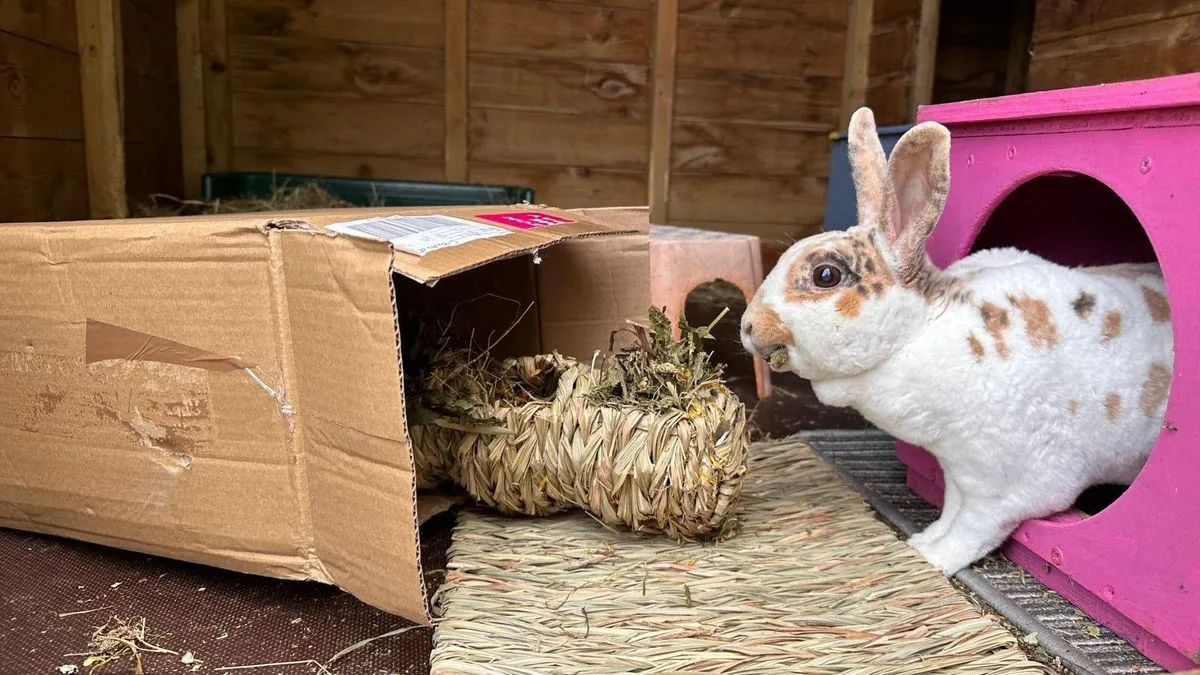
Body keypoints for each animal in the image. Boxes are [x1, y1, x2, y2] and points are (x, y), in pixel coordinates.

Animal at [739, 105, 1171, 571]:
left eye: (825, 275)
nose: (748, 326)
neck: (921, 330)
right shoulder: (958, 473)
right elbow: (951, 511)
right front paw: (925, 539)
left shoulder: (1003, 486)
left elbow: (972, 529)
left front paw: (932, 557)